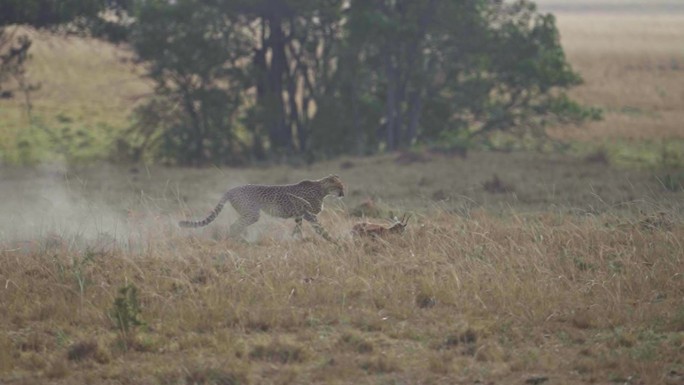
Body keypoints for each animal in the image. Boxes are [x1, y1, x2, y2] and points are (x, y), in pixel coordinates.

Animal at [179, 174, 344, 240]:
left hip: (248, 213)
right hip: (252, 213)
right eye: (339, 187)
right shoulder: (308, 213)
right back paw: (237, 240)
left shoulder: (300, 215)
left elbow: (298, 228)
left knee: (236, 225)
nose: (343, 193)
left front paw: (295, 239)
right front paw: (334, 241)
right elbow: (321, 228)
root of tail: (232, 189)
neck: (322, 189)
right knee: (235, 226)